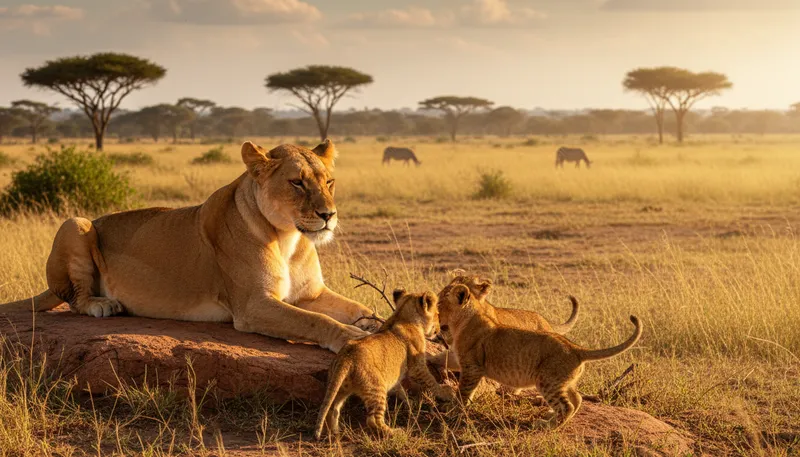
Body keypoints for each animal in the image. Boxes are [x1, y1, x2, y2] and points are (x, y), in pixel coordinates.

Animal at [0, 140, 380, 353]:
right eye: (297, 183)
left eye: (329, 181)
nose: (329, 215)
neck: (288, 237)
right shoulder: (253, 306)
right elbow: (316, 321)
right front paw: (352, 338)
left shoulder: (311, 293)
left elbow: (358, 308)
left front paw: (377, 324)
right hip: (75, 222)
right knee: (74, 298)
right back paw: (102, 304)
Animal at [314, 288, 454, 439]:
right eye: (437, 314)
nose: (439, 329)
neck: (402, 316)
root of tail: (346, 357)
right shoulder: (417, 366)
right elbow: (430, 381)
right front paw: (445, 393)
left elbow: (399, 388)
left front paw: (409, 403)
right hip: (376, 386)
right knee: (372, 420)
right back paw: (395, 432)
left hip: (340, 387)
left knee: (333, 408)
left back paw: (335, 433)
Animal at [440, 283, 641, 429]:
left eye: (440, 303)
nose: (434, 310)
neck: (461, 322)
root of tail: (575, 348)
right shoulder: (460, 358)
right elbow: (444, 359)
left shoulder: (472, 366)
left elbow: (464, 390)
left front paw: (453, 408)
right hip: (563, 381)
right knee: (577, 399)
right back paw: (552, 417)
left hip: (547, 381)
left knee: (567, 405)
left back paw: (548, 426)